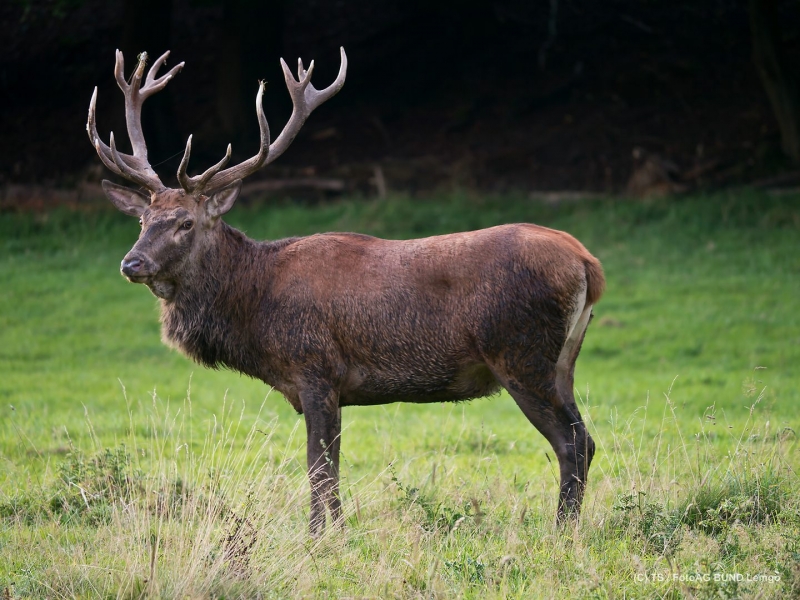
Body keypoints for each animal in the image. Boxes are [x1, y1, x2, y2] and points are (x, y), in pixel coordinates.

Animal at [87, 47, 604, 536]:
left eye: (186, 223)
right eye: (142, 220)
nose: (132, 263)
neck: (253, 309)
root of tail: (588, 263)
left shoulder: (315, 367)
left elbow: (318, 466)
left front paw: (320, 537)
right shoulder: (331, 385)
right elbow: (330, 465)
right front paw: (337, 531)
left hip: (518, 351)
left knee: (571, 441)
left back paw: (561, 530)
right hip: (562, 361)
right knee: (586, 437)